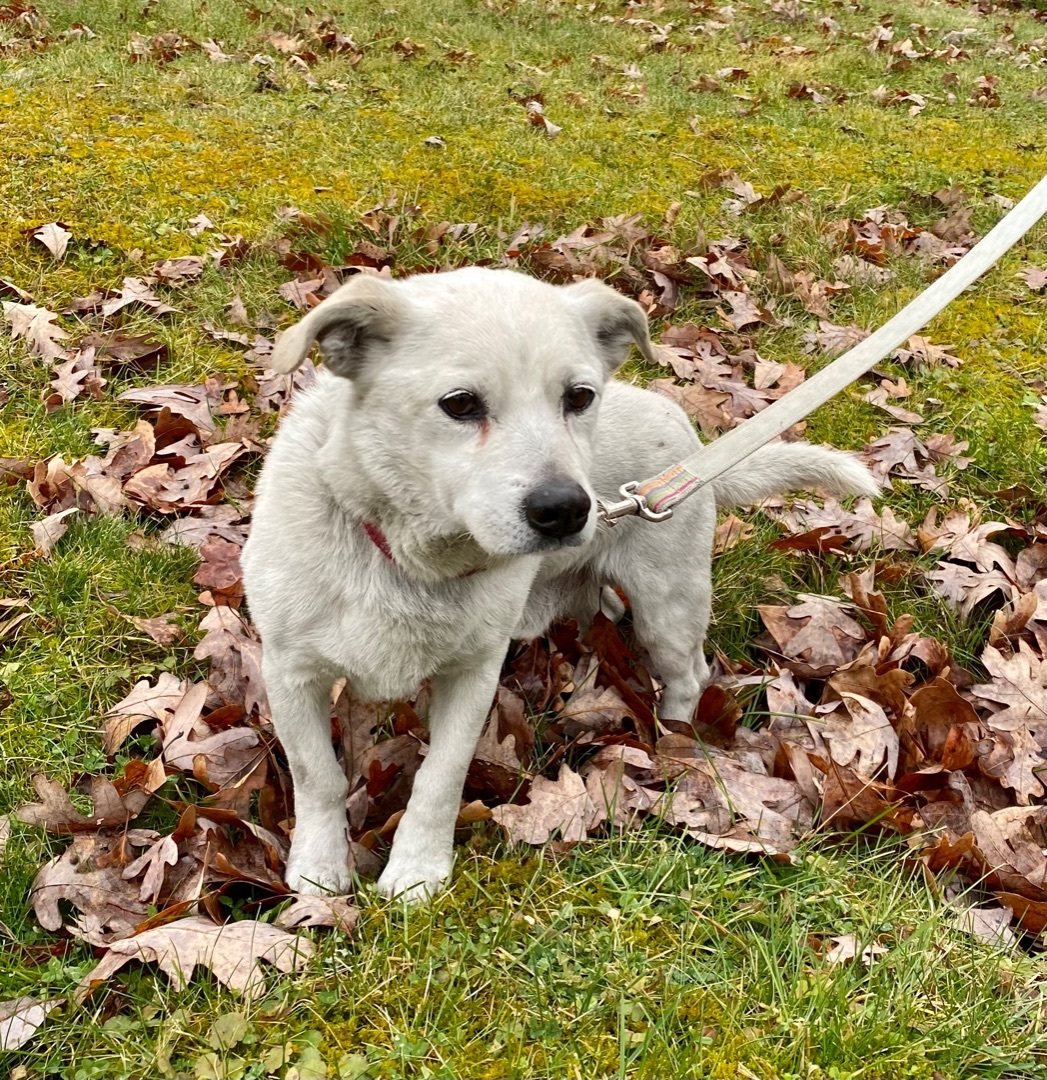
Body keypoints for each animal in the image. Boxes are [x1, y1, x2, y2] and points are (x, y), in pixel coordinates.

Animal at [240, 270, 877, 902]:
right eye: (460, 403)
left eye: (579, 397)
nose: (568, 509)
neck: (412, 561)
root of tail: (688, 434)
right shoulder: (290, 672)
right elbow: (318, 776)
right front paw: (320, 867)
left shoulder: (473, 674)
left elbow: (439, 778)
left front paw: (417, 870)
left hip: (668, 606)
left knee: (689, 674)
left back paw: (669, 739)